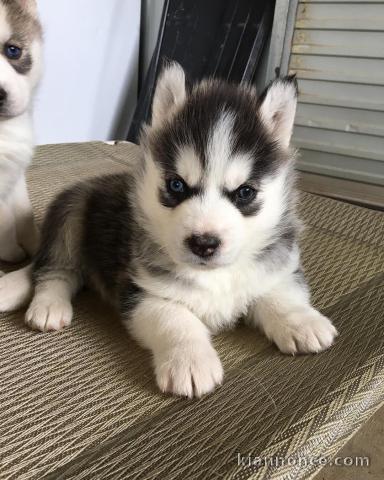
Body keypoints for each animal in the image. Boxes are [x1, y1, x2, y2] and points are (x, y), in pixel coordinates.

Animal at [0, 65, 336, 400]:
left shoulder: (276, 267)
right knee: (53, 268)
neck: (214, 275)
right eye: (177, 185)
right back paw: (47, 305)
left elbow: (279, 293)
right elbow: (175, 318)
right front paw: (190, 360)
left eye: (244, 192)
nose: (204, 243)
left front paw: (302, 320)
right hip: (72, 210)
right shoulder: (139, 289)